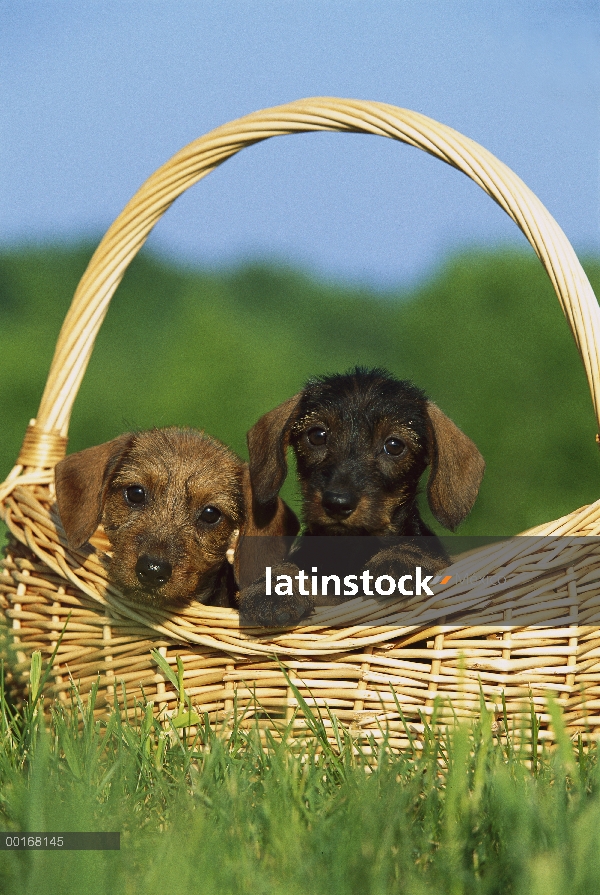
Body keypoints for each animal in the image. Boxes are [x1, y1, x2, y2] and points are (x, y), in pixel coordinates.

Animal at [237, 368, 486, 628]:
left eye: (394, 445)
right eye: (317, 435)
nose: (337, 503)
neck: (352, 548)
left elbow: (421, 551)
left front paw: (400, 559)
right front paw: (272, 590)